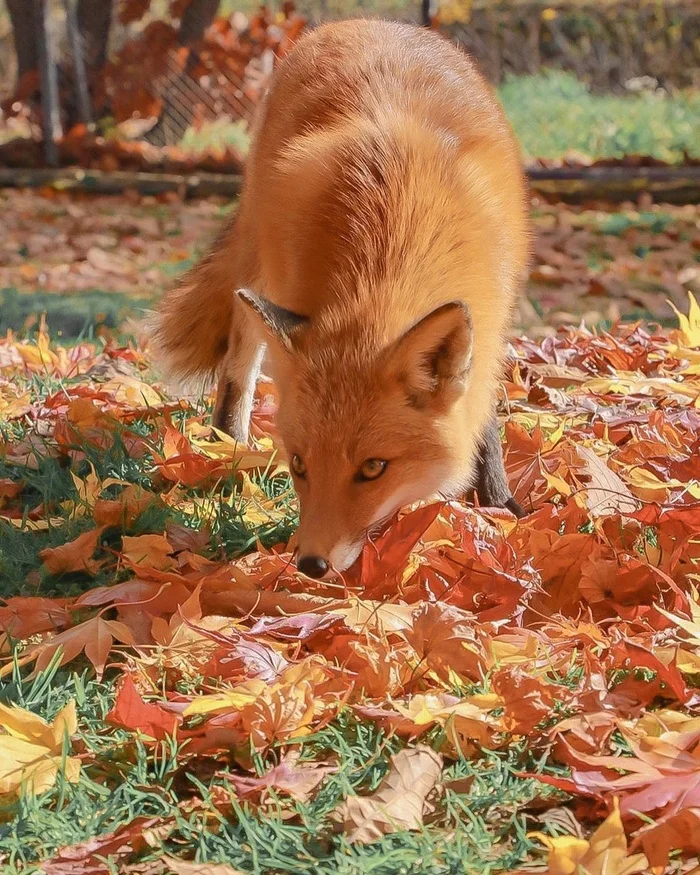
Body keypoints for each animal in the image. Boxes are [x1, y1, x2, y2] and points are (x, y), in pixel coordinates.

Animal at [150, 17, 528, 580]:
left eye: (373, 468)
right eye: (300, 464)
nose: (310, 564)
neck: (398, 228)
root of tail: (367, 22)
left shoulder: (493, 316)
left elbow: (482, 412)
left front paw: (496, 501)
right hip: (261, 265)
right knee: (239, 361)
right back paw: (225, 449)